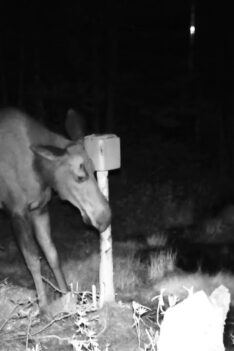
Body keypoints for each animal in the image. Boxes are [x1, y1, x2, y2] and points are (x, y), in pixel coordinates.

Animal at [0, 108, 111, 312]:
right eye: (80, 176)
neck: (41, 173)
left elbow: (52, 255)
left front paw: (66, 295)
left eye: (94, 171)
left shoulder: (39, 209)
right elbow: (33, 260)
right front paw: (43, 306)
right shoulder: (17, 212)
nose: (105, 217)